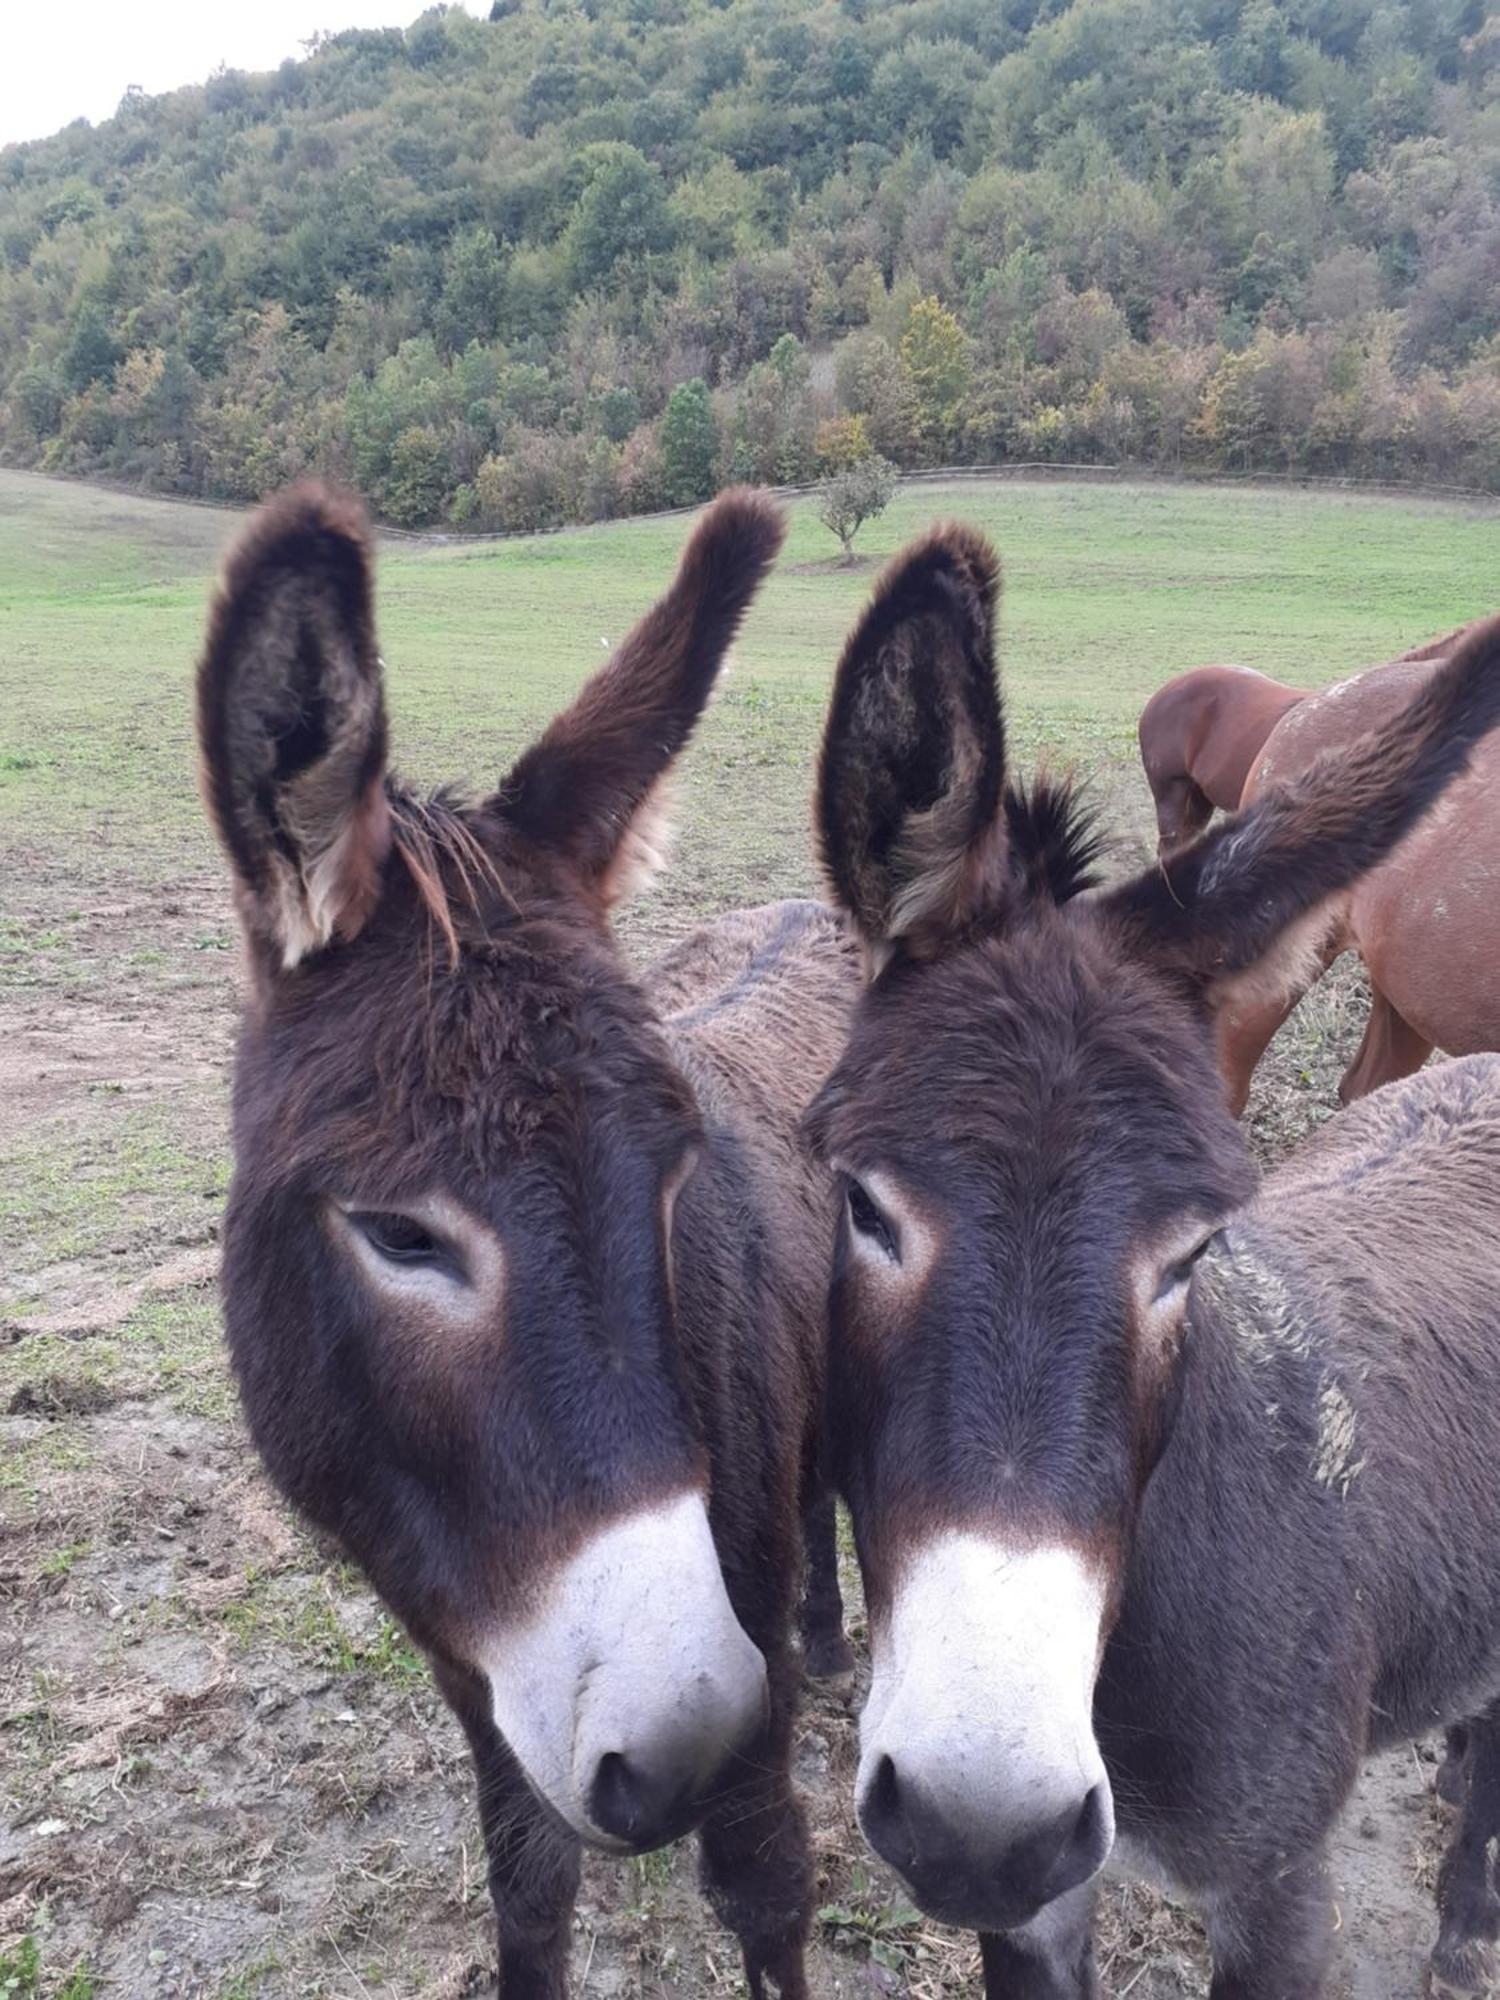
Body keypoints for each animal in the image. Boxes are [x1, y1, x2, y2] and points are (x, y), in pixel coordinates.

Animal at [197, 484, 856, 2000]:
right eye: (398, 1234)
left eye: (673, 1177)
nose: (687, 1734)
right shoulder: (483, 1668)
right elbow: (529, 1895)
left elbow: (768, 1890)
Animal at [812, 532, 1500, 2000]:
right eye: (863, 1205)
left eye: (1188, 1252)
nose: (982, 1820)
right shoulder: (1037, 1904)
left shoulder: (1279, 1892)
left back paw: (1469, 1911)